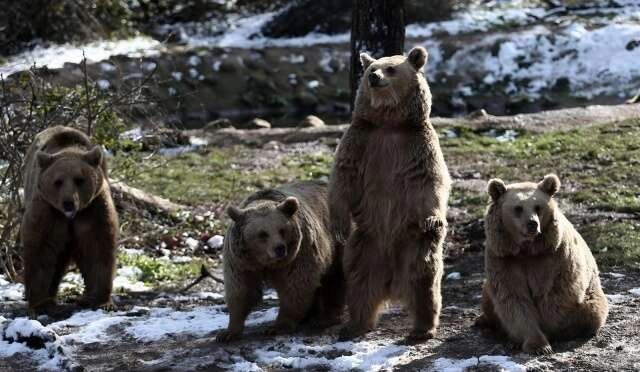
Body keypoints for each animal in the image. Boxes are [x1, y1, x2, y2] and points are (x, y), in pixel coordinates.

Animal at [20, 126, 118, 316]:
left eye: (79, 180)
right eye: (57, 181)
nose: (68, 203)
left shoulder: (93, 209)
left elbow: (97, 247)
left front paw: (100, 300)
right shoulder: (48, 210)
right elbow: (41, 250)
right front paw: (40, 303)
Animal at [215, 181, 344, 342]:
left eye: (282, 230)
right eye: (262, 234)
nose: (280, 248)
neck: (264, 262)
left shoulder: (298, 255)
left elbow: (295, 287)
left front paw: (277, 327)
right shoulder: (241, 263)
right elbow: (241, 291)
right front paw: (227, 332)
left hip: (337, 242)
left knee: (335, 280)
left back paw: (325, 318)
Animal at [478, 174, 608, 354]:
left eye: (537, 207)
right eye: (518, 208)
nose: (532, 224)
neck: (526, 250)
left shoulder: (552, 258)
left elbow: (553, 295)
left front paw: (544, 340)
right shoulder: (503, 259)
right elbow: (513, 299)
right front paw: (537, 344)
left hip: (591, 298)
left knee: (591, 314)